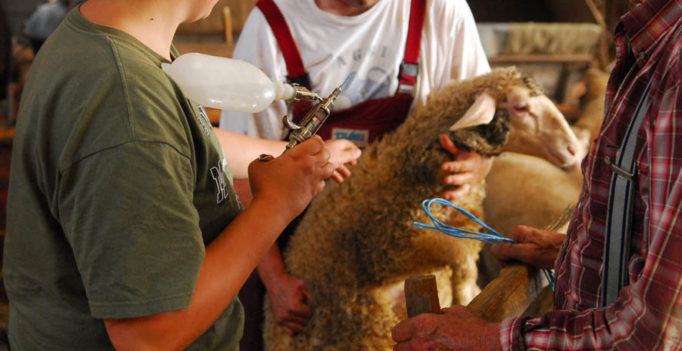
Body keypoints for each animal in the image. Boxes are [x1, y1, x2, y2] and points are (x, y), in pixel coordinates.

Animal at [264, 66, 580, 351]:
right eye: (520, 107)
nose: (574, 150)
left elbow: (465, 260)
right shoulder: (397, 248)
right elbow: (461, 261)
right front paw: (468, 296)